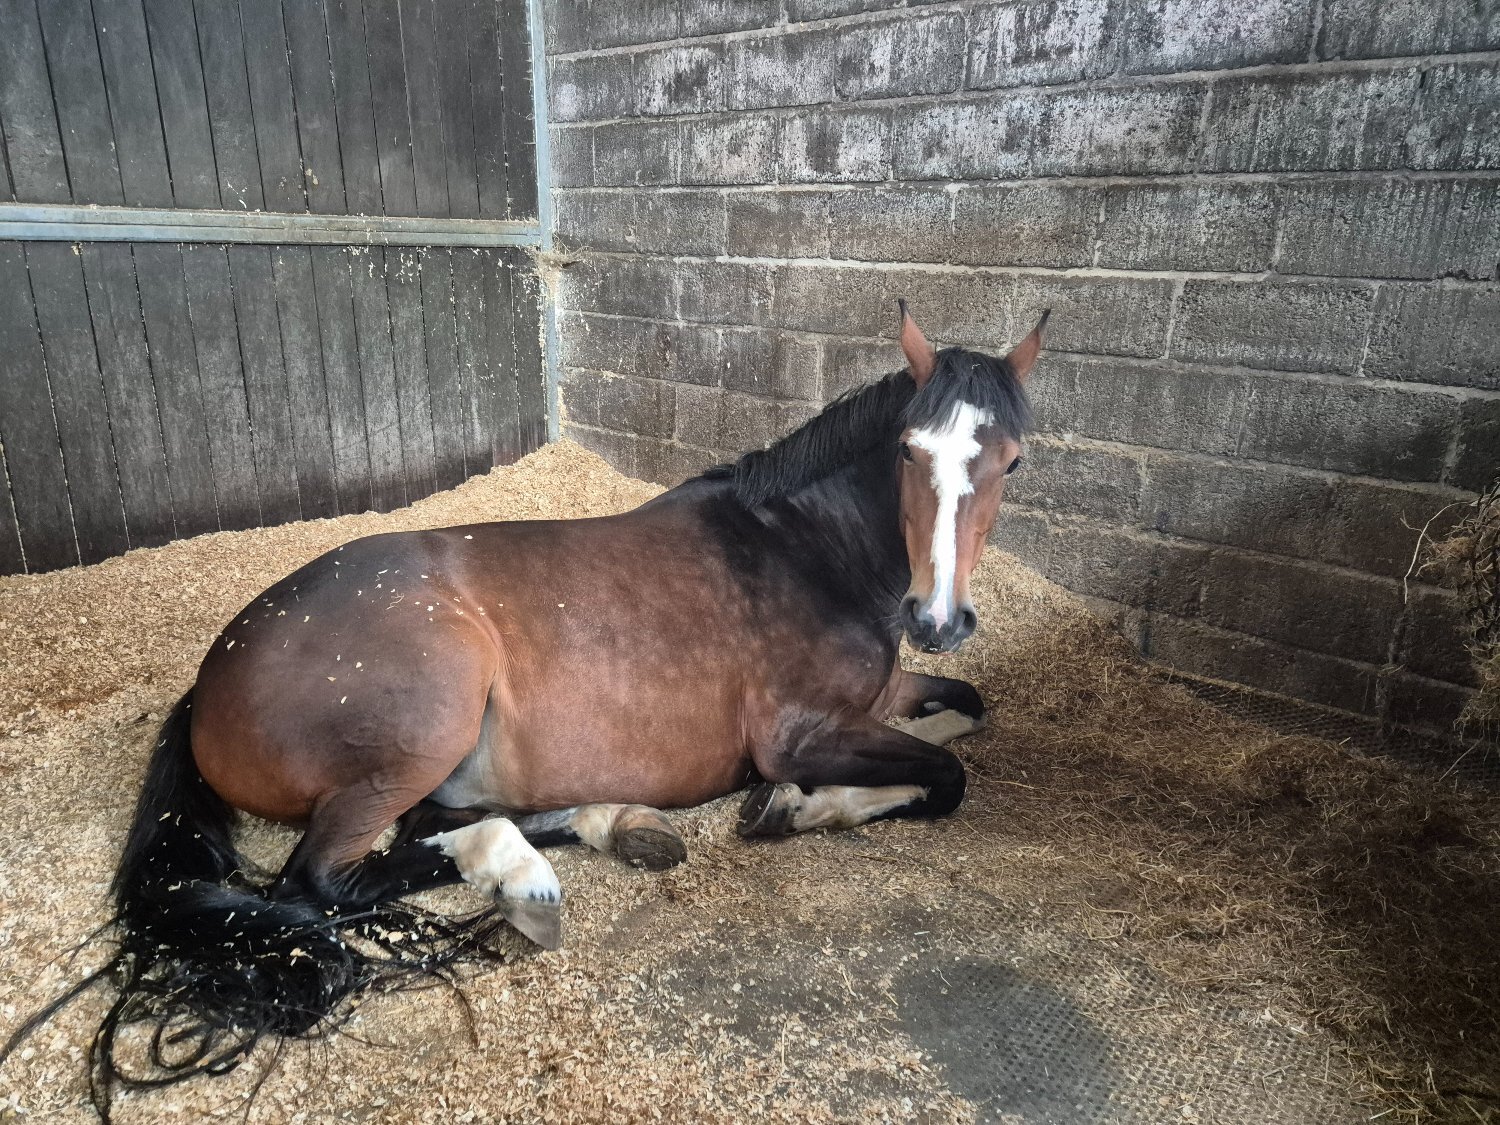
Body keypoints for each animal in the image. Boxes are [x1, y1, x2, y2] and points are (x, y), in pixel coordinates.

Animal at [7, 303, 1046, 1115]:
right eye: (908, 450)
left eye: (1011, 461)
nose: (938, 617)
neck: (801, 546)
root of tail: (213, 672)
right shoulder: (803, 734)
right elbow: (944, 775)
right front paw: (803, 807)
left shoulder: (886, 693)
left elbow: (964, 711)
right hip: (429, 721)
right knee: (330, 878)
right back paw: (521, 873)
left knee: (419, 835)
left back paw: (612, 826)